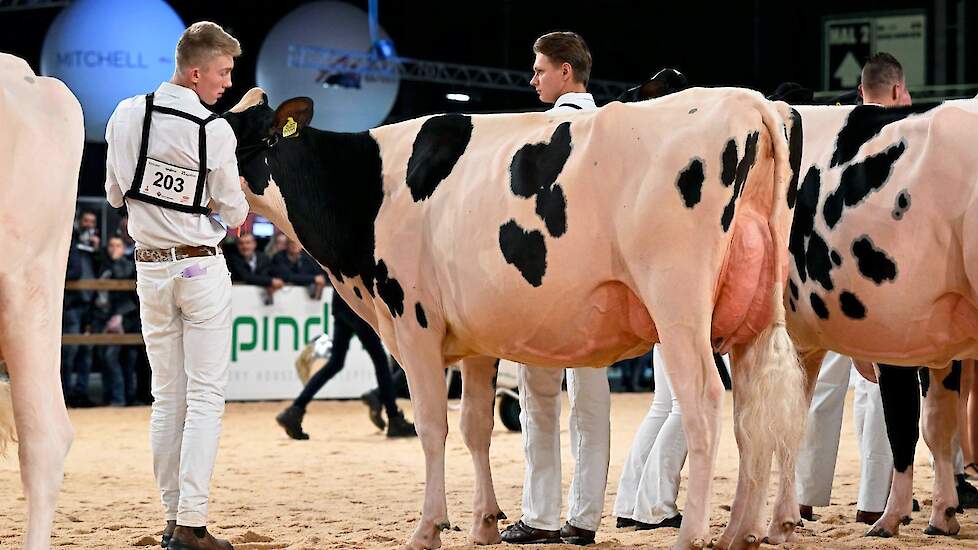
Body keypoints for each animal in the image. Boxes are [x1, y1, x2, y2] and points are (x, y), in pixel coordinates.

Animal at [225, 87, 804, 550]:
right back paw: (741, 532)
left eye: (228, 128)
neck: (368, 190)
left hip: (679, 308)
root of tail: (744, 100)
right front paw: (484, 522)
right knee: (752, 414)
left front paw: (427, 528)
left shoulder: (413, 324)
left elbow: (432, 427)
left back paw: (693, 535)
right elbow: (474, 427)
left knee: (705, 403)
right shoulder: (476, 339)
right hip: (753, 317)